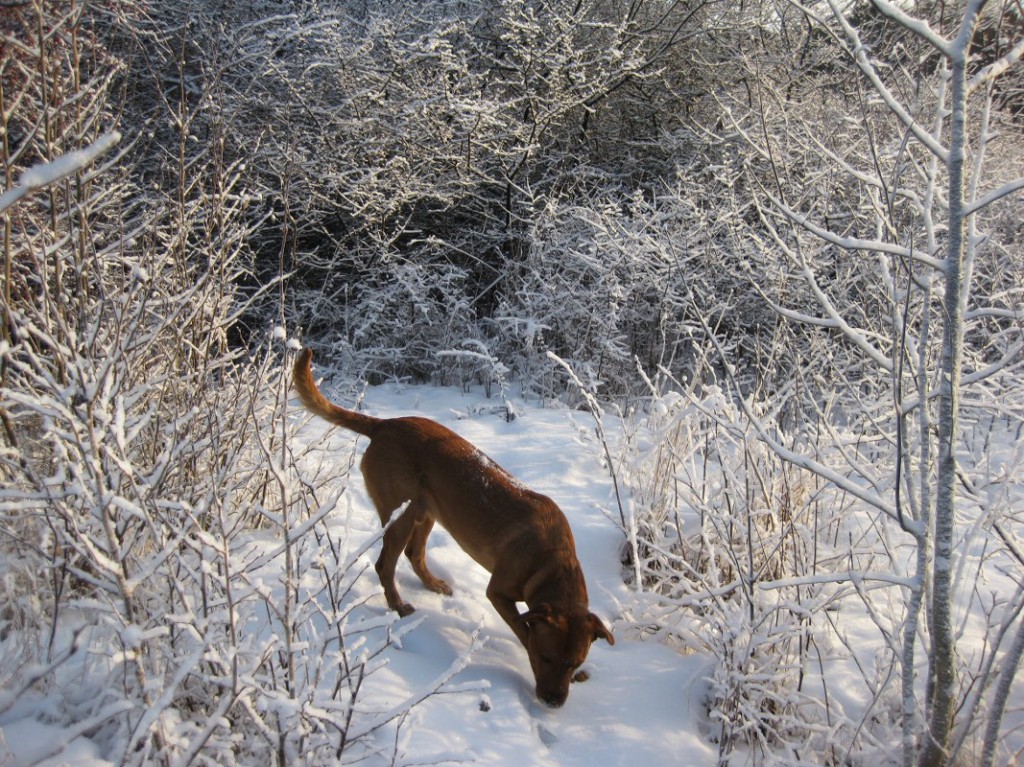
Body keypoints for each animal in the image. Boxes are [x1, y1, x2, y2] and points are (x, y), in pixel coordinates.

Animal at [292, 348, 610, 704]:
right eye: (547, 658)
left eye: (574, 662)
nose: (553, 701)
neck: (551, 559)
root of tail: (385, 425)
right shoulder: (498, 592)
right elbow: (523, 629)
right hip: (401, 514)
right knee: (385, 564)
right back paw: (398, 606)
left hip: (427, 512)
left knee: (415, 554)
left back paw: (433, 585)